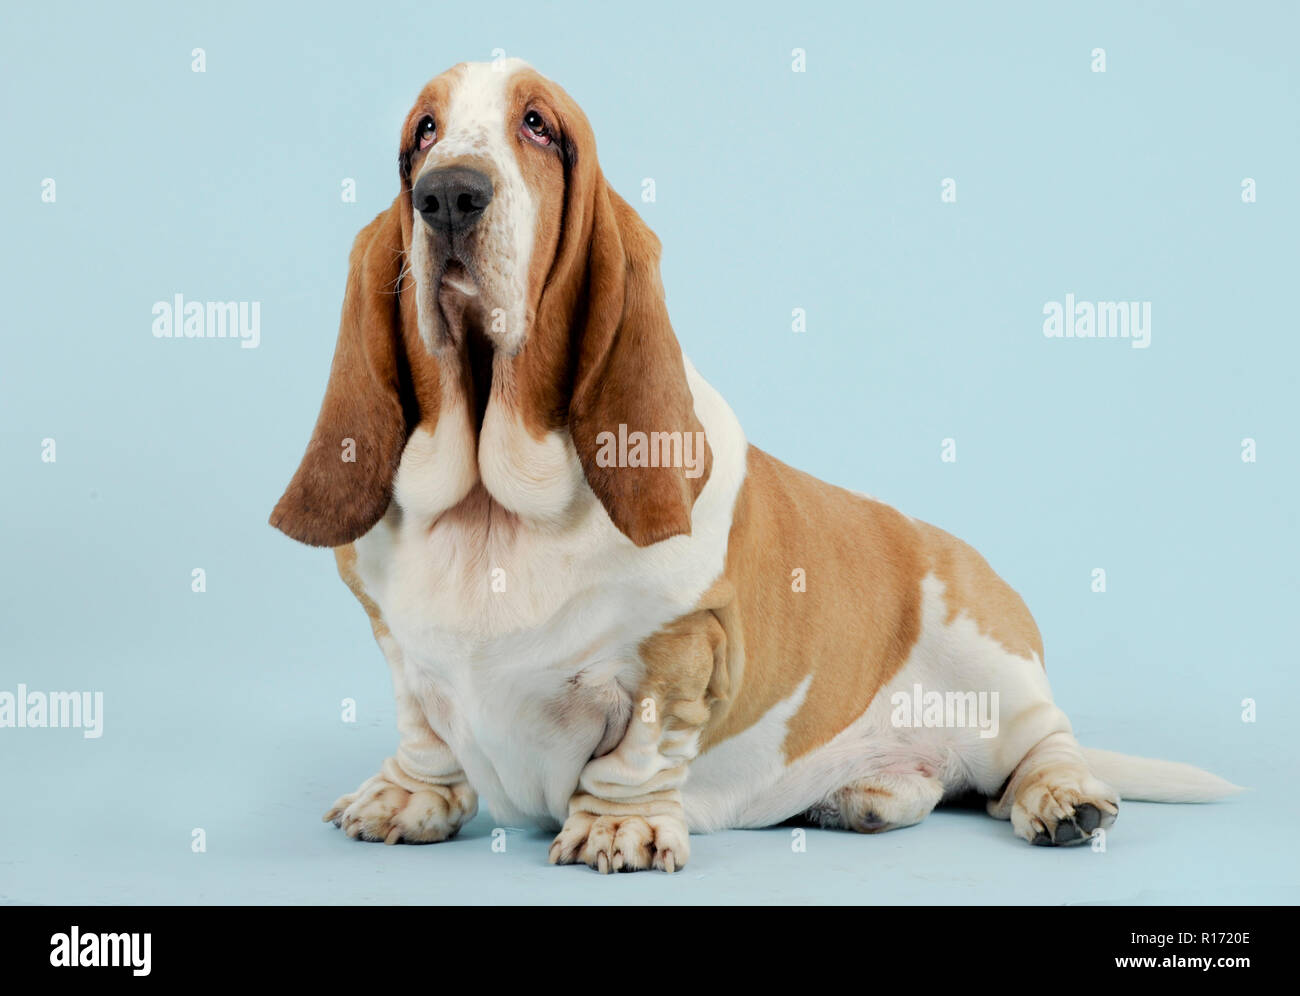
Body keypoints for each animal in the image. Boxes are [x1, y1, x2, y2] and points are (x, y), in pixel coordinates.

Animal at [266, 60, 1237, 873]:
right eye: (422, 134)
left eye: (538, 126)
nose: (448, 195)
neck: (493, 508)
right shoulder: (402, 652)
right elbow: (423, 733)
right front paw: (404, 799)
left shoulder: (683, 649)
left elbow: (639, 750)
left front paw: (619, 828)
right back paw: (866, 793)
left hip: (992, 661)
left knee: (1039, 747)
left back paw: (1065, 799)